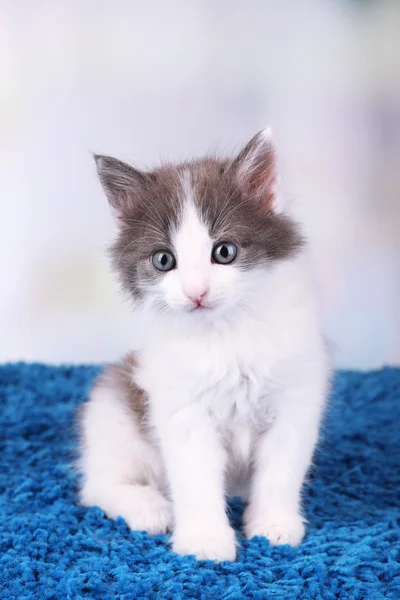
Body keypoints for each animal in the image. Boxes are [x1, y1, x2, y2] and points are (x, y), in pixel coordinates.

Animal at [77, 129, 328, 560]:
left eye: (224, 252)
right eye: (163, 260)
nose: (196, 292)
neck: (225, 333)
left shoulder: (295, 397)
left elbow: (281, 470)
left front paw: (273, 525)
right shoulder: (183, 410)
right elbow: (196, 480)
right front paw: (206, 541)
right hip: (113, 410)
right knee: (97, 486)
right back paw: (149, 507)